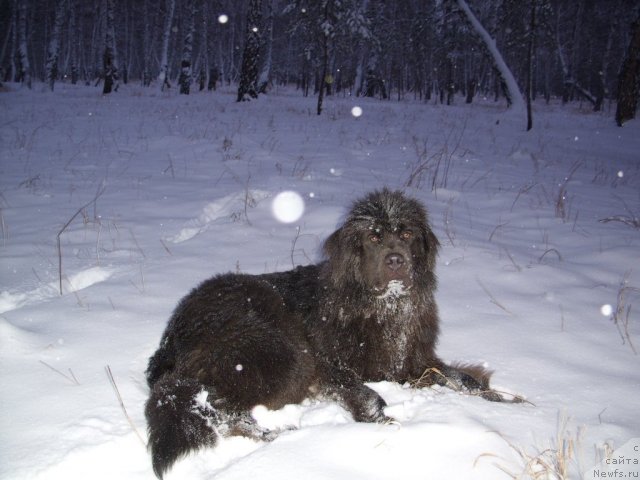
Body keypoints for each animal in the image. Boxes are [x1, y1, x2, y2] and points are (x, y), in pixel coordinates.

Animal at [145, 188, 510, 476]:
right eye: (374, 237)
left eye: (406, 235)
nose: (396, 261)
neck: (381, 308)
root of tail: (173, 330)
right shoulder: (325, 364)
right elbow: (367, 394)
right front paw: (384, 422)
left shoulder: (413, 362)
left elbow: (463, 379)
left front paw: (503, 402)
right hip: (280, 348)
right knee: (223, 408)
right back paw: (280, 437)